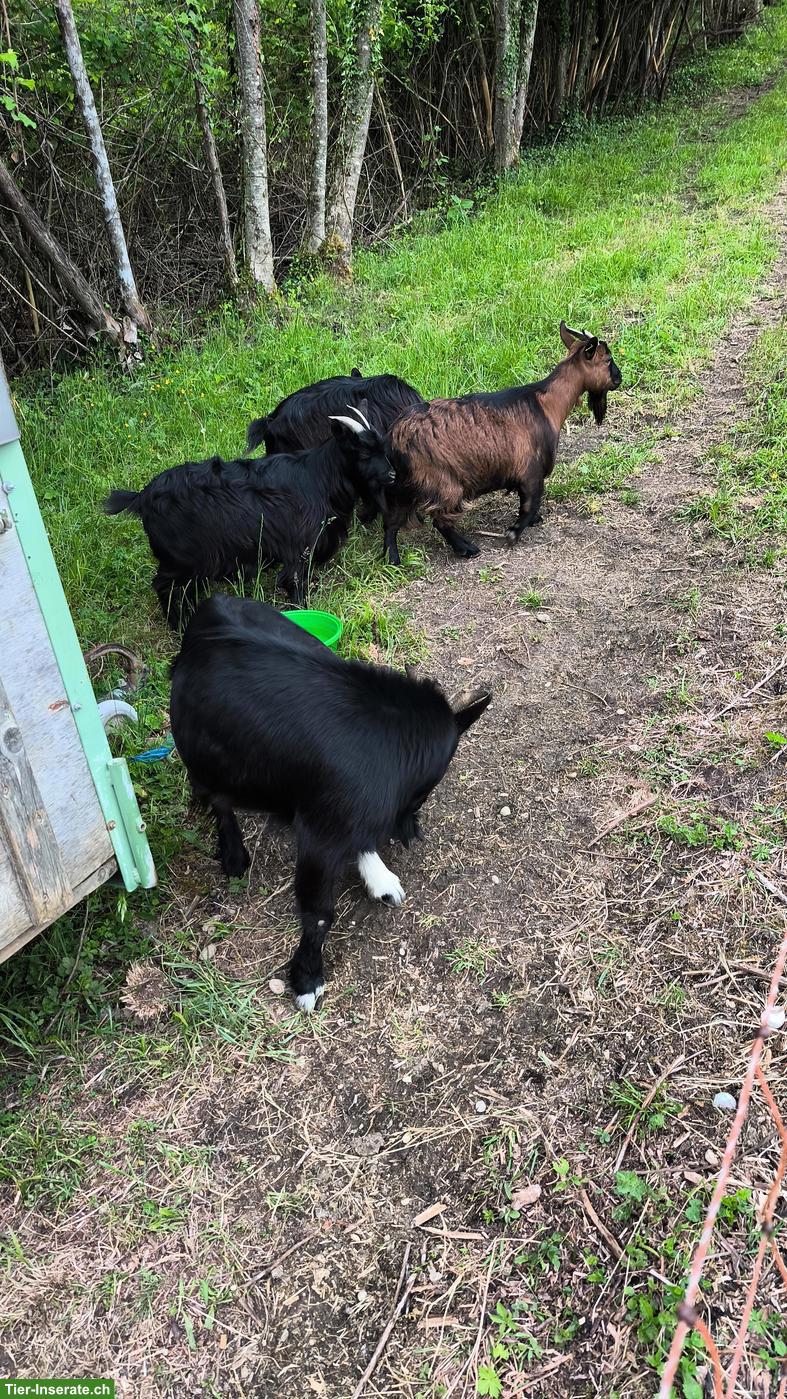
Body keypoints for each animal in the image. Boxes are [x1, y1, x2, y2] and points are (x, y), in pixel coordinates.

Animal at [104, 410, 393, 623]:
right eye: (363, 453)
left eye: (382, 448)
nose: (392, 475)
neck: (319, 477)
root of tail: (141, 497)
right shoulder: (299, 549)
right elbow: (294, 585)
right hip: (180, 560)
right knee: (164, 587)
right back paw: (178, 624)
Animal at [170, 593, 492, 1010]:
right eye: (424, 790)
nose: (411, 831)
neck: (391, 741)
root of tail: (211, 605)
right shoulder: (322, 836)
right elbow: (319, 913)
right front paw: (307, 979)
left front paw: (379, 876)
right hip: (202, 758)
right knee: (218, 800)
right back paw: (234, 855)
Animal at [377, 322, 622, 564]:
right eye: (608, 360)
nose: (619, 378)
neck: (546, 403)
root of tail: (395, 436)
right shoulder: (531, 471)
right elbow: (530, 502)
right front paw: (514, 532)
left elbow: (526, 501)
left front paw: (533, 520)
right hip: (443, 481)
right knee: (440, 519)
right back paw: (466, 548)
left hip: (405, 483)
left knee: (391, 519)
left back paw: (393, 559)